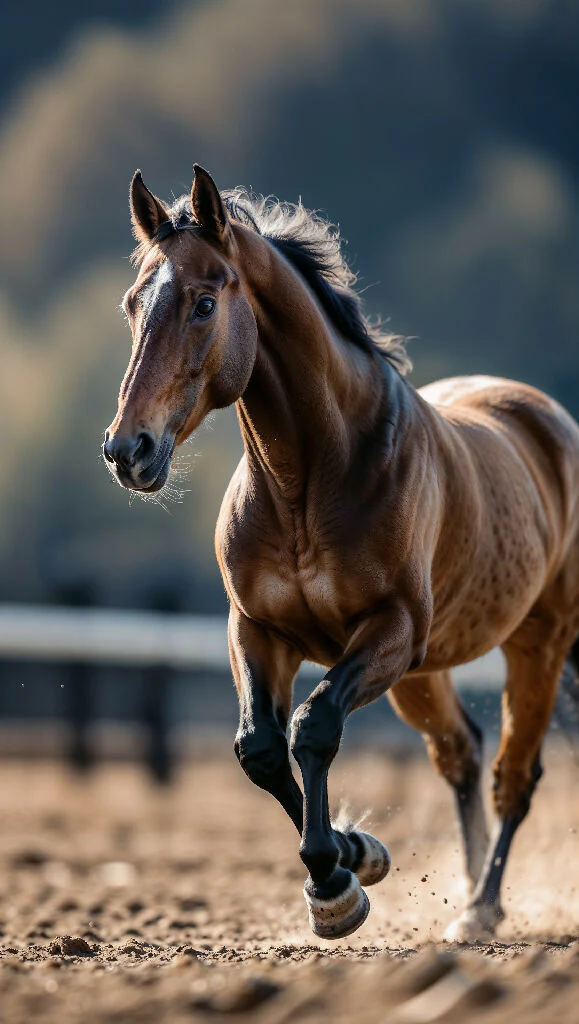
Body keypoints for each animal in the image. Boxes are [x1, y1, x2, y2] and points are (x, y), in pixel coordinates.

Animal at [104, 164, 579, 942]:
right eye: (132, 303)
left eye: (203, 302)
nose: (127, 450)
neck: (310, 481)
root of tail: (542, 416)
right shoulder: (258, 630)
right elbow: (261, 749)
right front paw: (355, 858)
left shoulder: (390, 631)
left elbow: (313, 726)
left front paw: (336, 880)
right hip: (425, 673)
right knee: (461, 752)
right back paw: (465, 887)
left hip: (534, 643)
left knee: (514, 774)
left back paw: (480, 908)